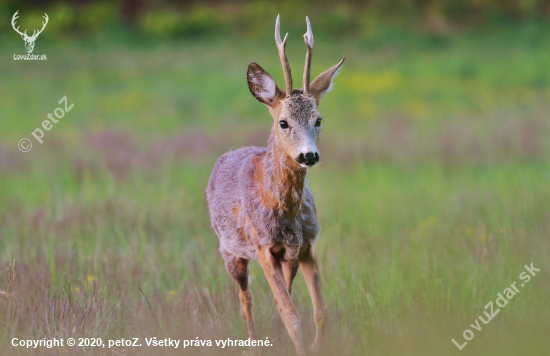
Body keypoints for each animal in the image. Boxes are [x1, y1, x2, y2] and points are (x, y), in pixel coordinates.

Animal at [207, 15, 344, 354]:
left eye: (318, 119)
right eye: (283, 122)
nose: (309, 155)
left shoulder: (300, 246)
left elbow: (313, 310)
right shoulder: (264, 247)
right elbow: (290, 315)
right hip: (230, 250)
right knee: (245, 299)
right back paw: (253, 343)